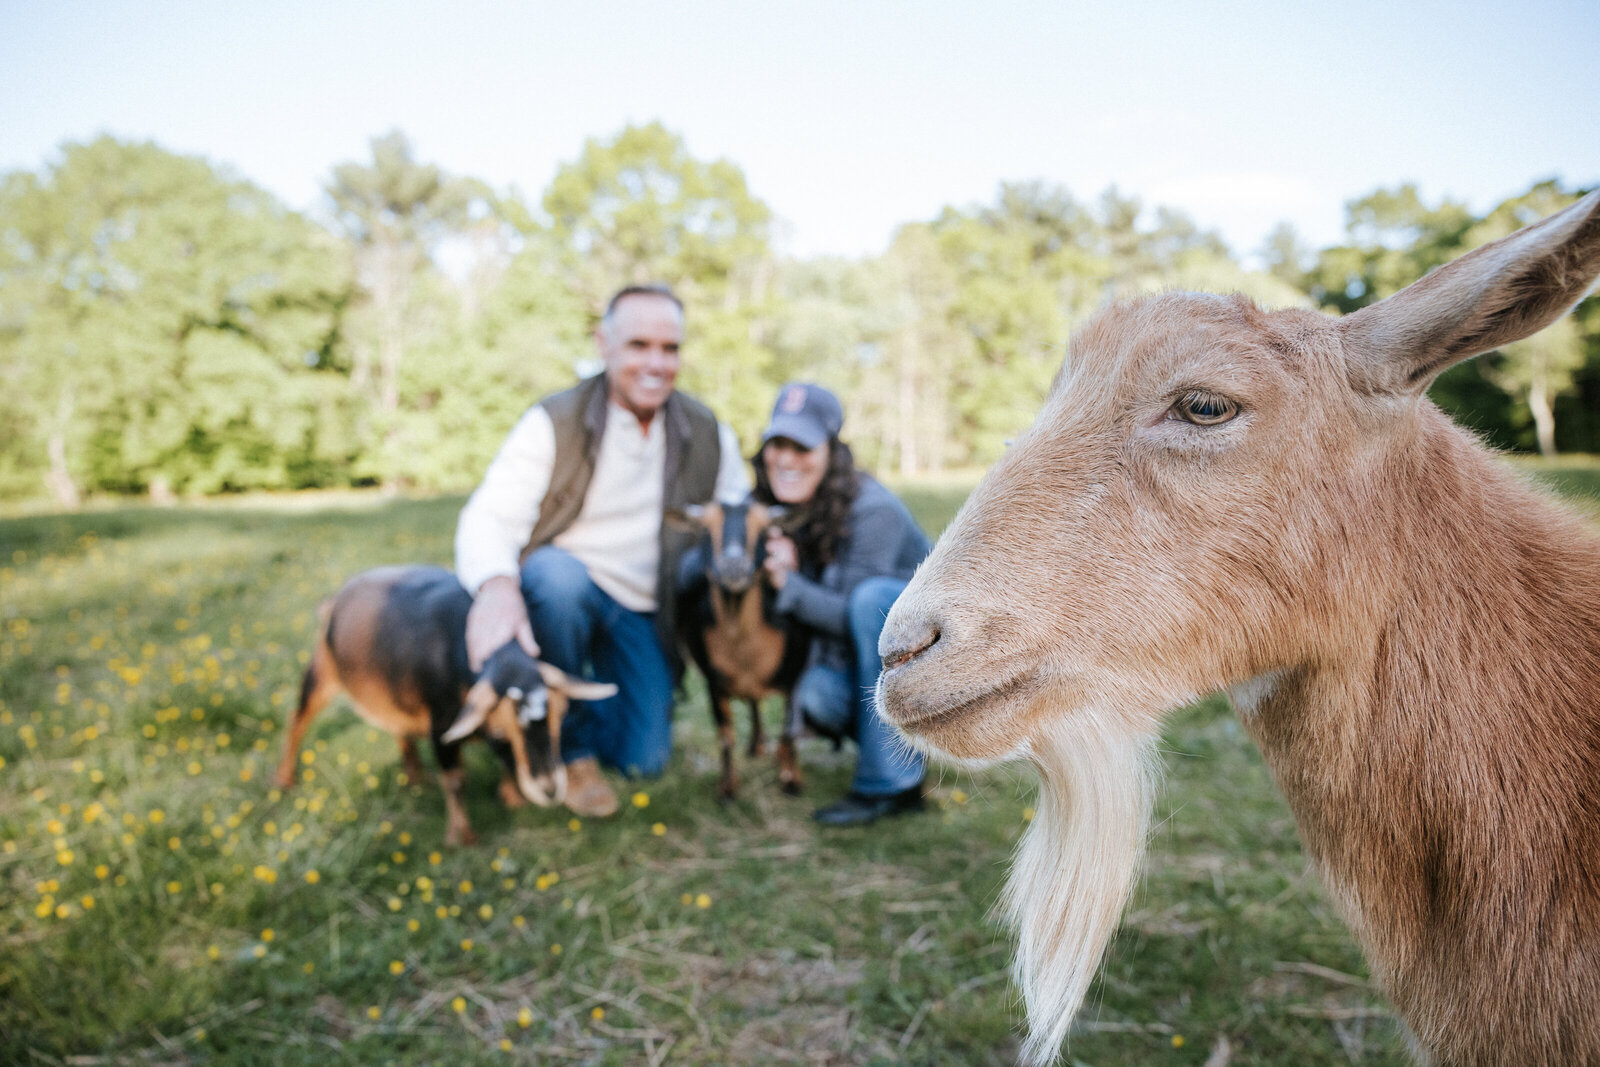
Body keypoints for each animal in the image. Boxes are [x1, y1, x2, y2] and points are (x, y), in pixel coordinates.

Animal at [278, 566, 614, 844]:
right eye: (502, 734)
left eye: (561, 718)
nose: (549, 789)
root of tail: (334, 599)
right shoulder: (442, 721)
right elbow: (455, 780)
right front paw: (462, 837)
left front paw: (512, 797)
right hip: (322, 668)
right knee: (298, 718)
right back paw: (284, 780)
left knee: (400, 727)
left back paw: (416, 776)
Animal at [675, 502, 812, 799]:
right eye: (705, 529)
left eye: (763, 531)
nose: (734, 566)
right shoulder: (713, 682)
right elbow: (725, 736)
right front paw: (727, 790)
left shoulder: (795, 674)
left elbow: (788, 731)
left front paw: (792, 782)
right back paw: (756, 745)